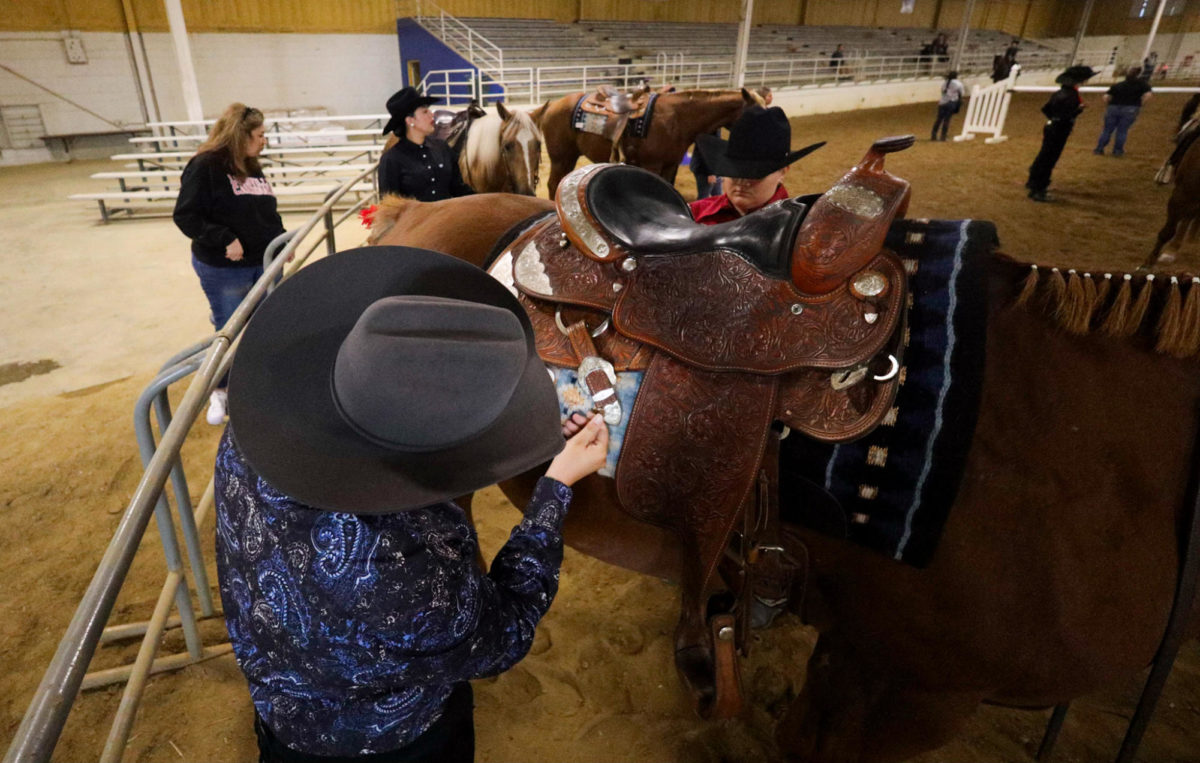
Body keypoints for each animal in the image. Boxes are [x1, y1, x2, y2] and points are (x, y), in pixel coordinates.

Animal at [537, 86, 758, 196]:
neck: (677, 118)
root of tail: (552, 106)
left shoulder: (671, 164)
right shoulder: (653, 164)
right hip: (561, 158)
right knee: (553, 184)